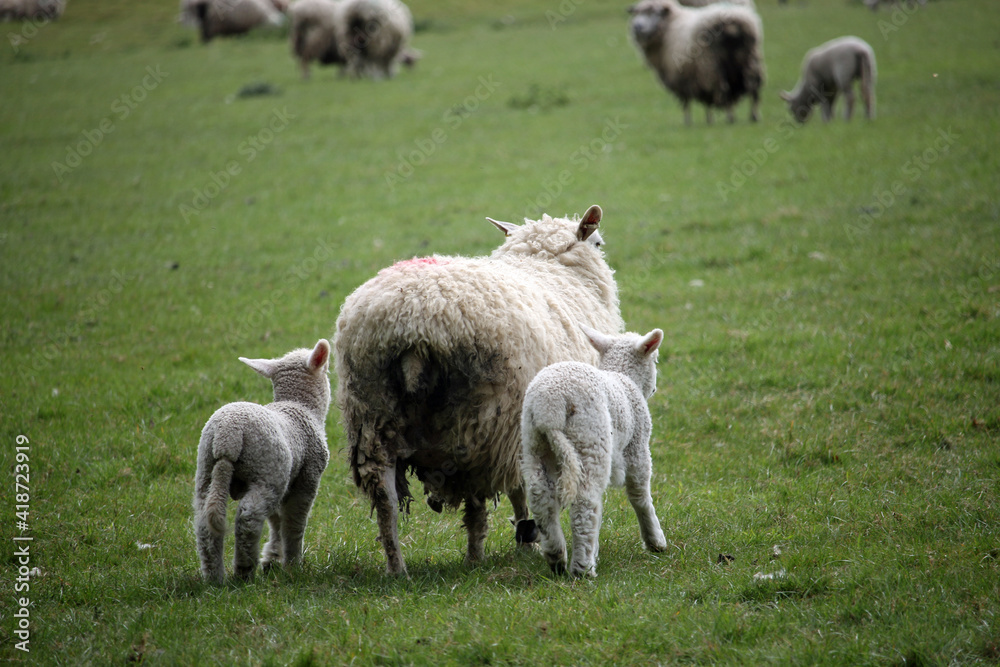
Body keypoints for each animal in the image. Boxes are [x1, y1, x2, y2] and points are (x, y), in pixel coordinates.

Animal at [193, 339, 331, 584]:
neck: (299, 405)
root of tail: (227, 435)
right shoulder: (307, 477)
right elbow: (294, 522)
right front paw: (292, 564)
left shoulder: (287, 478)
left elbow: (276, 520)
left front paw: (273, 559)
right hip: (267, 473)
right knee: (249, 517)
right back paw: (244, 571)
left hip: (207, 469)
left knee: (204, 523)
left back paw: (214, 577)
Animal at [333, 204, 623, 576]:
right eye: (598, 243)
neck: (548, 266)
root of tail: (413, 321)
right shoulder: (519, 428)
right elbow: (520, 488)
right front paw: (526, 538)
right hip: (480, 418)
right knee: (473, 497)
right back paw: (474, 555)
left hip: (371, 411)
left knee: (386, 498)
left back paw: (397, 568)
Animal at [521, 326, 667, 577]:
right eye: (655, 360)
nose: (656, 388)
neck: (623, 377)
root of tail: (549, 408)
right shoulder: (637, 446)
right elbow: (640, 495)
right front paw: (655, 541)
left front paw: (596, 547)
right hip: (590, 438)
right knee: (585, 501)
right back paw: (583, 567)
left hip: (534, 443)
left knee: (541, 497)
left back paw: (557, 557)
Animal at [628, 0, 765, 125]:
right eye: (636, 13)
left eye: (655, 12)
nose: (636, 27)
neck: (669, 26)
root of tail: (735, 23)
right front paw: (706, 119)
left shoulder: (682, 74)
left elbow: (687, 101)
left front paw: (689, 121)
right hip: (748, 61)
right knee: (752, 88)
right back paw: (753, 116)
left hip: (711, 65)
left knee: (722, 89)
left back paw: (728, 117)